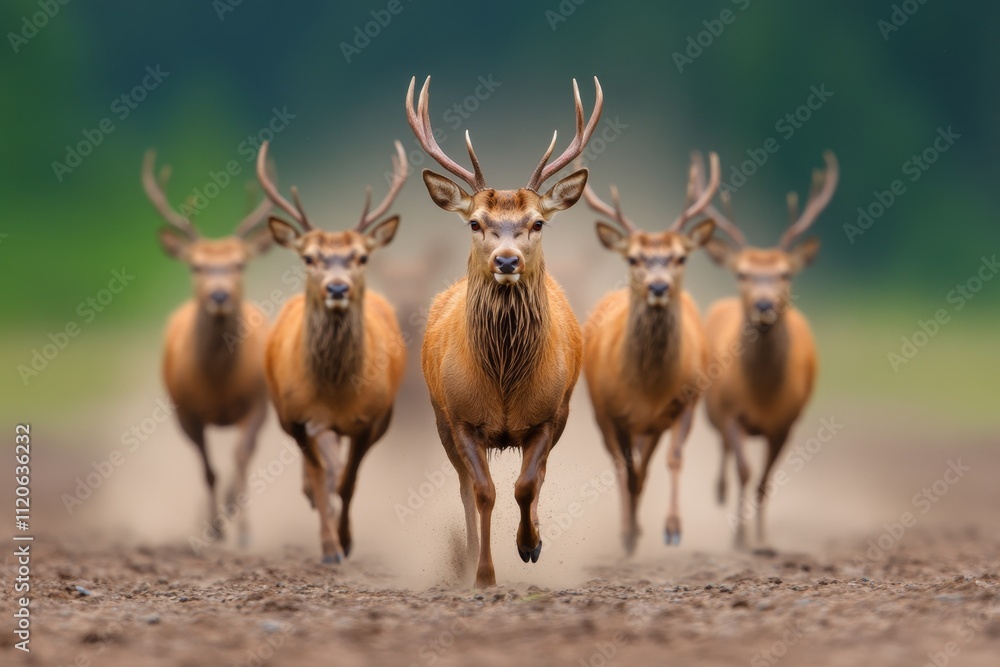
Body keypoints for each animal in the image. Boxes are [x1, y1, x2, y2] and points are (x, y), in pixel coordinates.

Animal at [145, 150, 275, 546]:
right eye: (196, 266)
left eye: (240, 262)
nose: (219, 295)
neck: (218, 381)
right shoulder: (186, 412)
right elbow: (208, 470)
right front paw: (215, 529)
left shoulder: (258, 401)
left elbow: (241, 458)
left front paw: (242, 531)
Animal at [255, 139, 408, 564]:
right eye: (309, 257)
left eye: (362, 256)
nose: (337, 287)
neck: (336, 390)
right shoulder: (298, 416)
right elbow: (323, 477)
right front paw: (329, 548)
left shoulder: (373, 419)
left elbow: (348, 481)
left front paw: (346, 539)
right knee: (321, 467)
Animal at [407, 75, 602, 587]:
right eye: (476, 222)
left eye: (538, 222)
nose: (507, 260)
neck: (504, 381)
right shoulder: (459, 417)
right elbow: (483, 492)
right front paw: (483, 573)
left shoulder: (552, 414)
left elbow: (526, 484)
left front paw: (530, 545)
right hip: (437, 417)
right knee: (463, 488)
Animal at [580, 152, 721, 554]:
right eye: (633, 258)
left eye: (680, 257)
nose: (659, 287)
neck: (648, 386)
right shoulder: (613, 412)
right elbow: (627, 469)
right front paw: (629, 533)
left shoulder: (684, 404)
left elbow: (672, 460)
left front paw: (672, 529)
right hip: (601, 414)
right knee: (621, 465)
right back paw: (629, 530)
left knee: (646, 464)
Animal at [700, 151, 838, 548]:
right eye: (742, 273)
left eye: (785, 273)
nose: (764, 305)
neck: (761, 393)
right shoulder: (731, 411)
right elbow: (745, 472)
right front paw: (739, 538)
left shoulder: (785, 422)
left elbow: (764, 483)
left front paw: (762, 540)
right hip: (712, 409)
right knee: (725, 453)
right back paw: (719, 493)